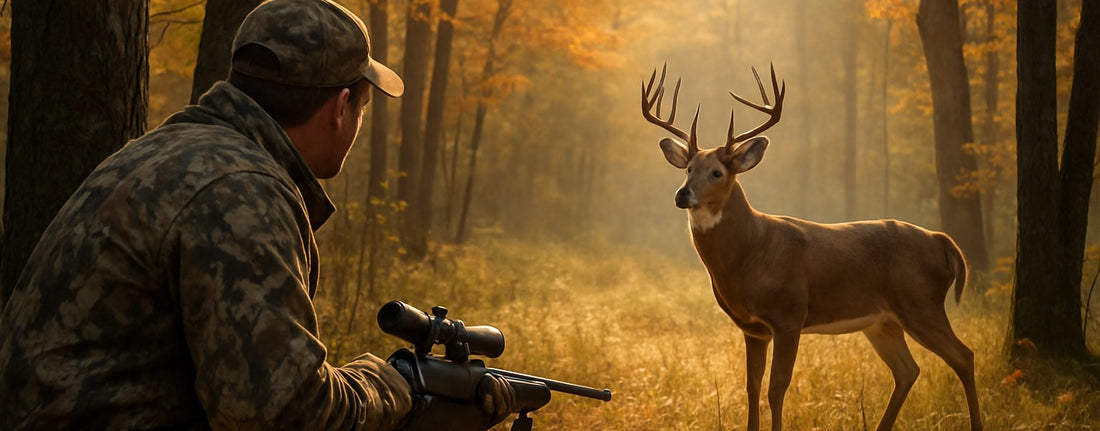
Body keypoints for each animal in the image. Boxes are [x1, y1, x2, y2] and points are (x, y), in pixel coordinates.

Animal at [642, 64, 982, 431]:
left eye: (717, 172)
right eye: (689, 168)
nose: (682, 194)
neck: (750, 253)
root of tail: (941, 240)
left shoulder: (789, 315)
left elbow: (777, 388)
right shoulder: (753, 329)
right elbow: (751, 387)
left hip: (921, 302)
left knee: (964, 356)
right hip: (883, 321)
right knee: (908, 370)